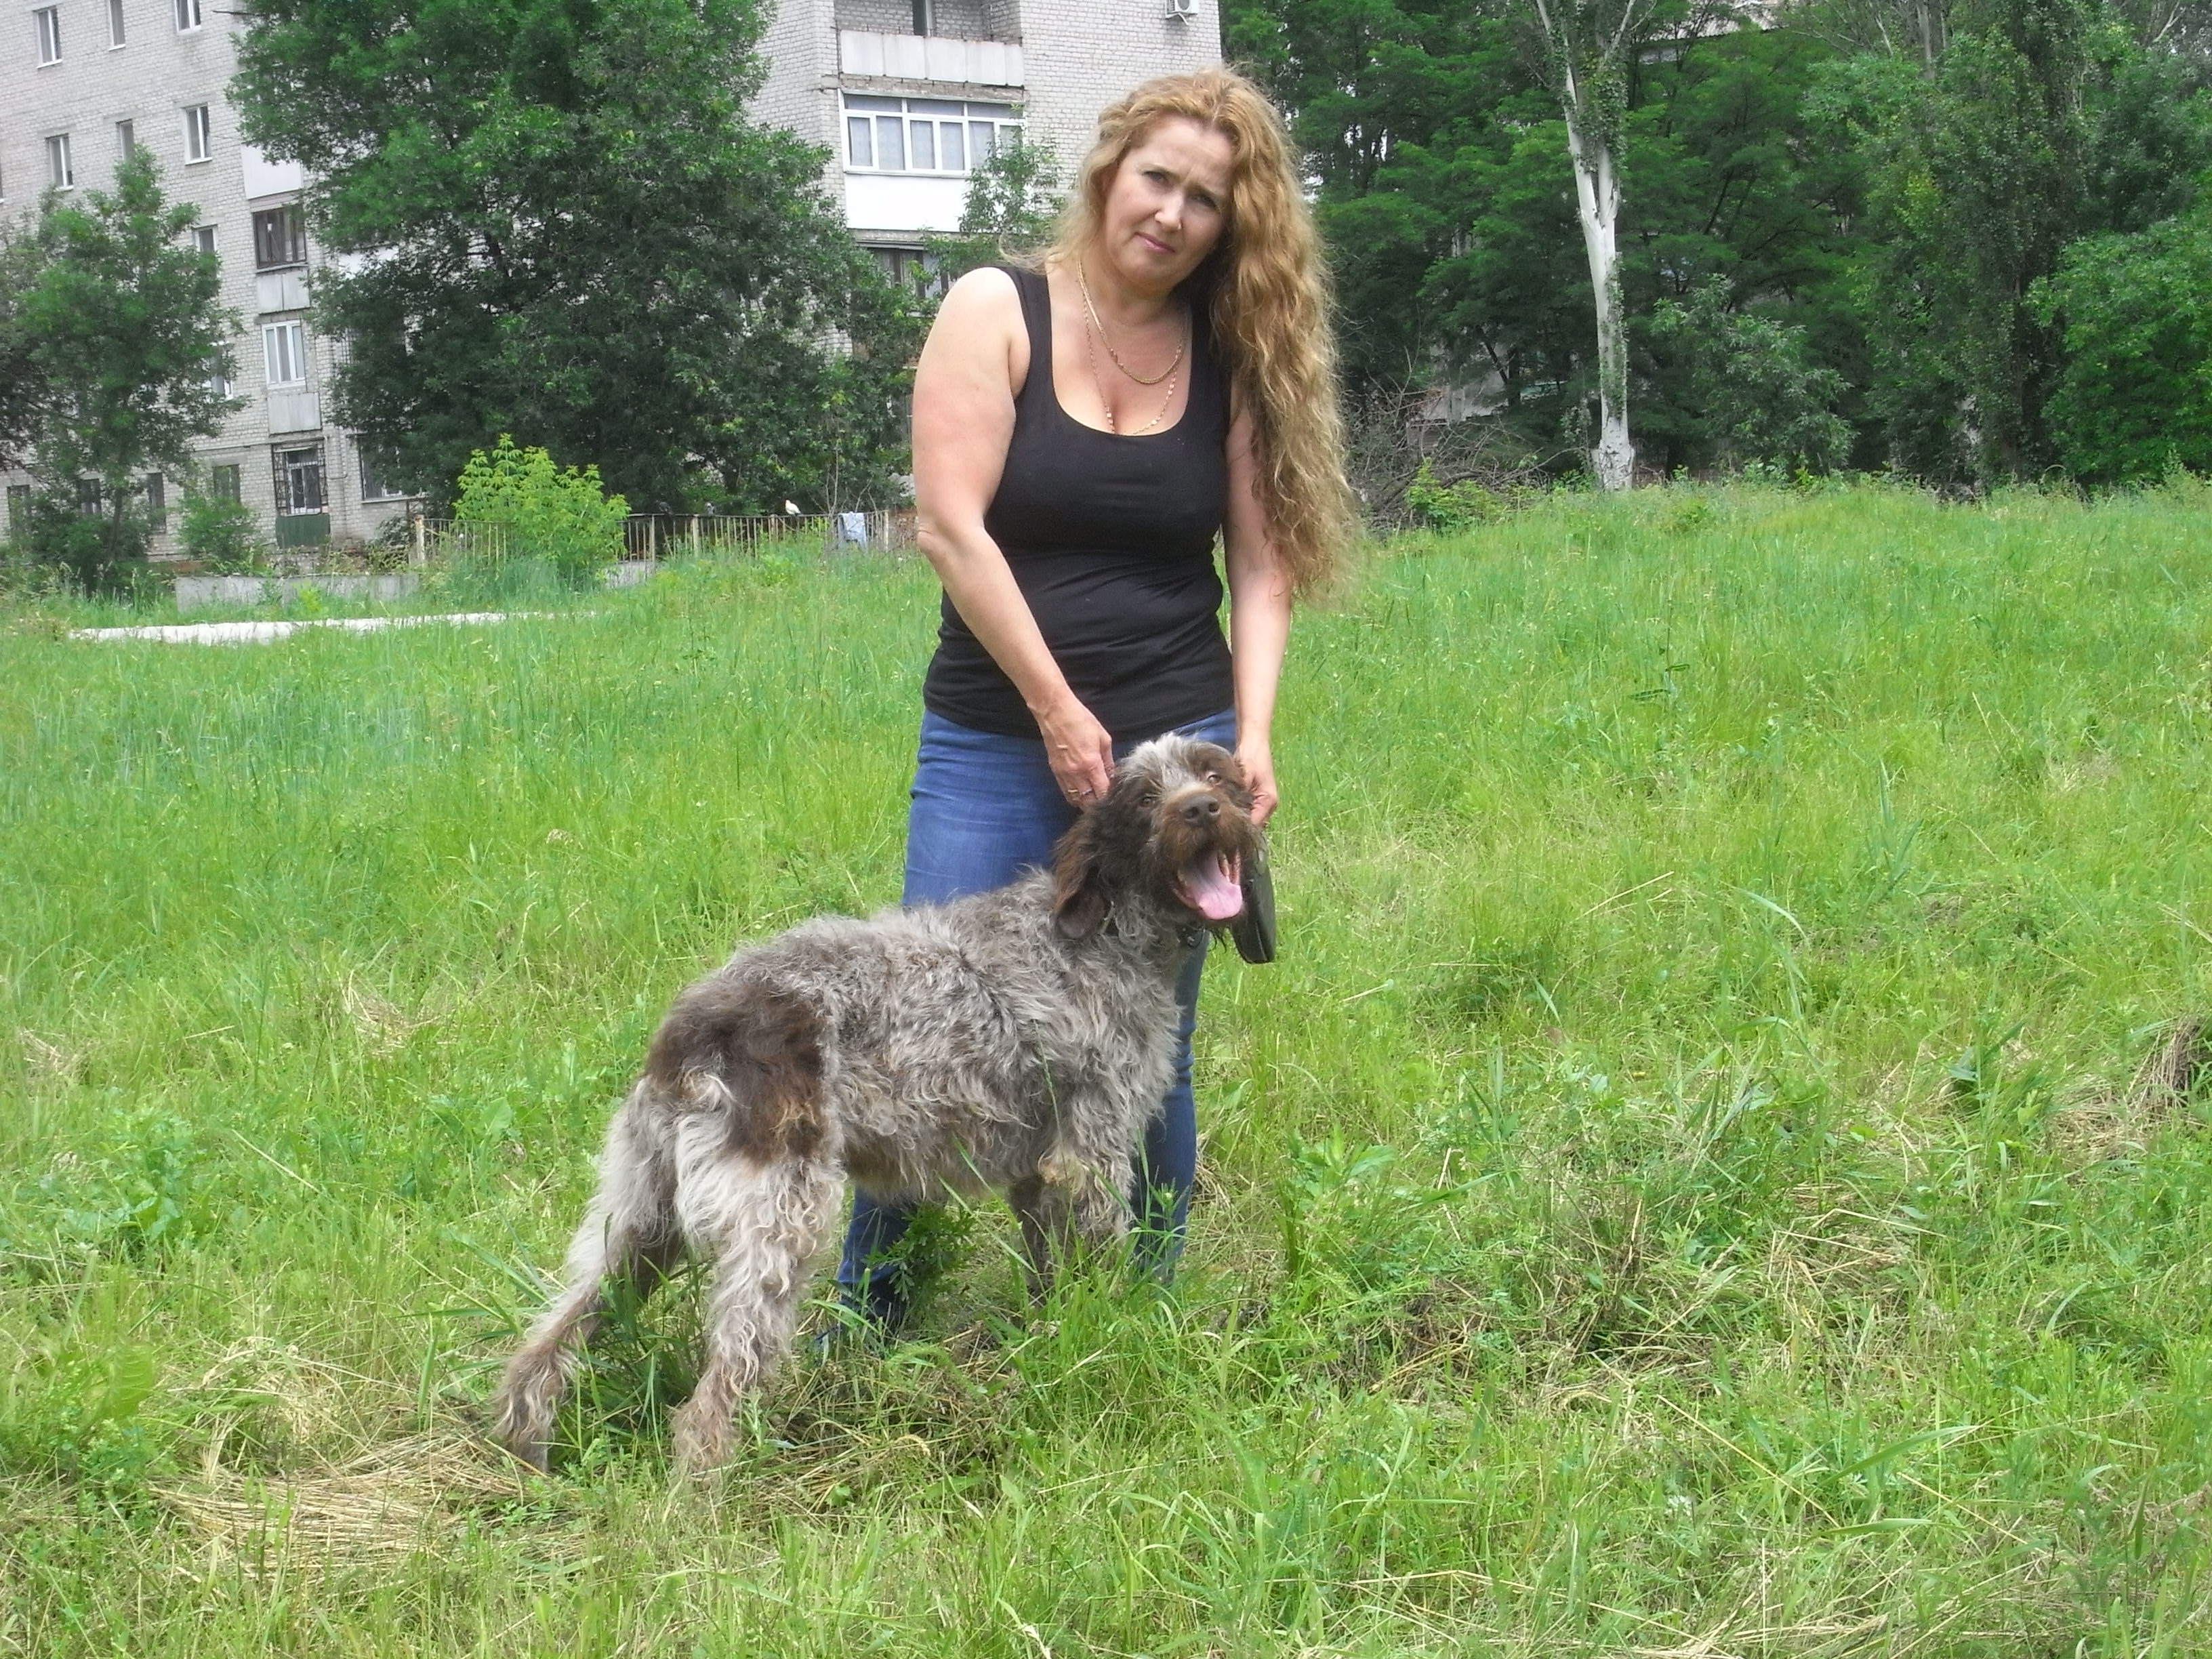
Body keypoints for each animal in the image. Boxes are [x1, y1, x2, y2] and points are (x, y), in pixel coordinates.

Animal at [497, 734, 1265, 1477]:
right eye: (1144, 798)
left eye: (1214, 776)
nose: (1202, 810)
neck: (1106, 929)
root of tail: (699, 1026)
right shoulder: (1091, 1155)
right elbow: (1101, 1264)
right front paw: (1110, 1337)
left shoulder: (1035, 1172)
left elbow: (1047, 1271)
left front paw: (1052, 1340)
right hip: (778, 1224)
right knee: (711, 1404)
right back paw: (701, 1503)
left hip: (640, 1221)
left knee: (545, 1347)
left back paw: (524, 1461)